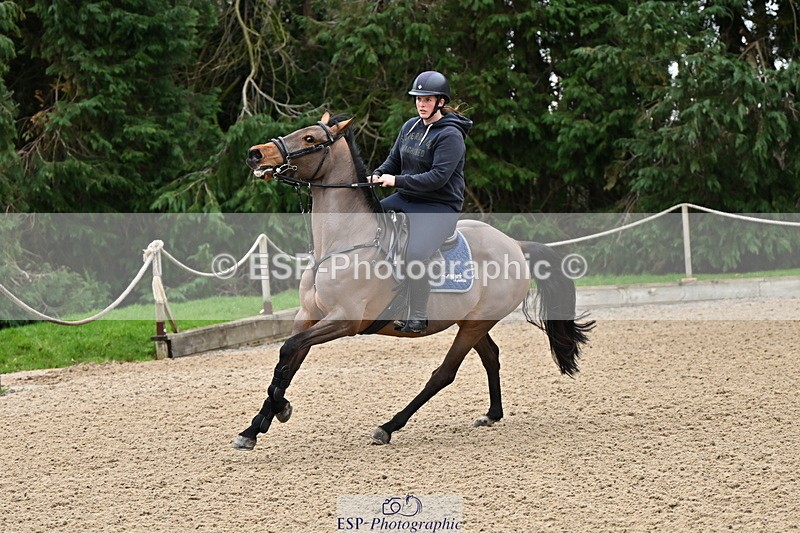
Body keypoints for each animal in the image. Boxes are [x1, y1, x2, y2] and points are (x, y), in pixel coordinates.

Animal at [234, 112, 594, 450]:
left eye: (310, 139)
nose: (255, 153)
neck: (342, 244)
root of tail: (515, 245)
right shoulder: (308, 316)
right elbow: (287, 361)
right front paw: (256, 426)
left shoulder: (345, 321)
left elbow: (287, 351)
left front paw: (277, 411)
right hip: (470, 322)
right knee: (490, 356)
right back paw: (492, 414)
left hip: (476, 323)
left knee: (444, 374)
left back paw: (388, 427)